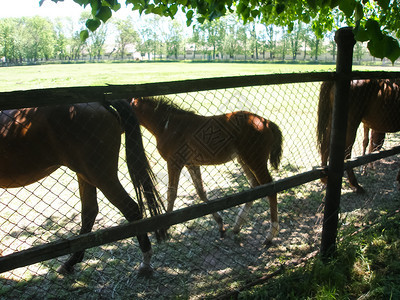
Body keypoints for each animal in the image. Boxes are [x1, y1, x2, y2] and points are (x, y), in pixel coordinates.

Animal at [0, 99, 166, 276]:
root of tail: (99, 102)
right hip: (85, 174)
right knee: (90, 211)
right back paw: (70, 262)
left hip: (100, 175)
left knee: (130, 209)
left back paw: (145, 262)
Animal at [131, 97, 282, 245]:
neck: (166, 126)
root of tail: (267, 123)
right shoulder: (191, 164)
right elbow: (201, 192)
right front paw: (221, 225)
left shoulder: (174, 163)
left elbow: (171, 193)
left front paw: (165, 227)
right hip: (244, 160)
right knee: (255, 186)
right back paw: (237, 226)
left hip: (255, 159)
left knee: (269, 187)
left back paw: (270, 235)